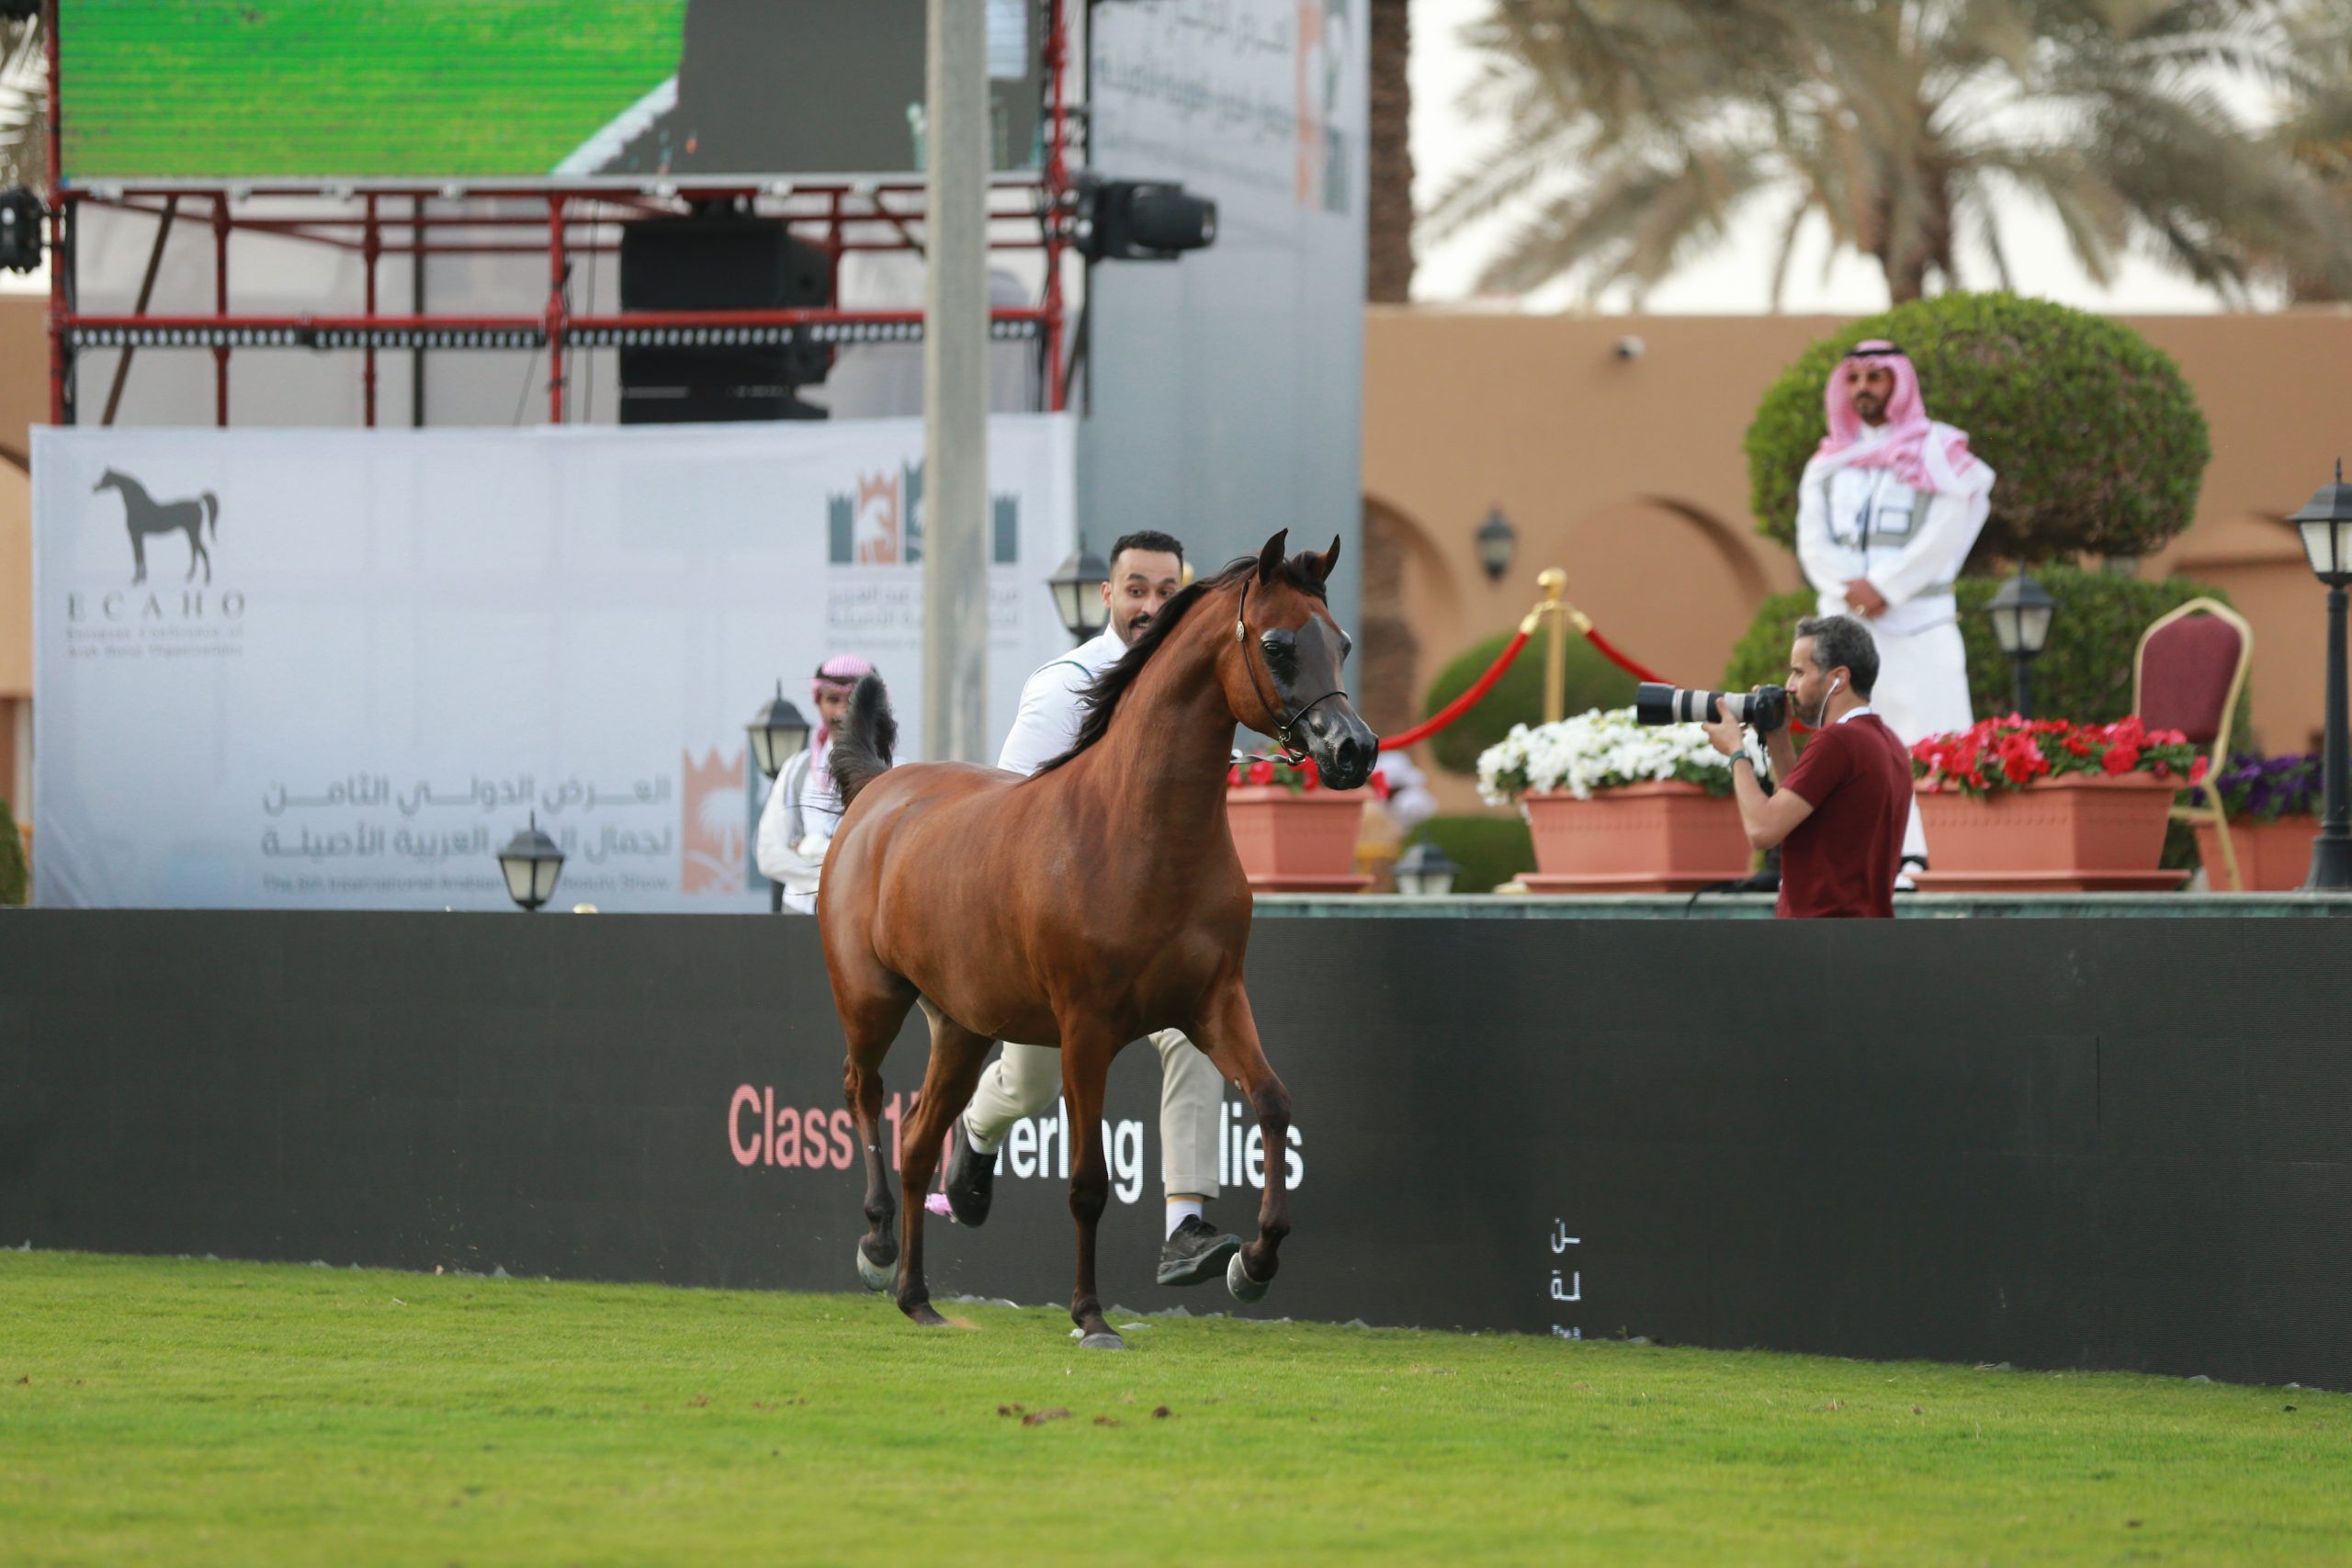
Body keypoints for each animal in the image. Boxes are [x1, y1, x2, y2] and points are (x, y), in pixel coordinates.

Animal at [93, 469, 218, 586]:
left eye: (105, 478)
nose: (94, 488)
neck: (137, 505)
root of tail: (198, 502)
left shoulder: (136, 535)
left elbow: (138, 557)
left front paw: (136, 580)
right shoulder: (139, 536)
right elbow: (141, 556)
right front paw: (143, 579)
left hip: (193, 532)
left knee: (202, 551)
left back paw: (206, 580)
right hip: (190, 533)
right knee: (195, 551)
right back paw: (190, 577)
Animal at [818, 530, 1378, 1348]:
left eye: (1339, 642)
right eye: (1277, 644)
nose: (1354, 751)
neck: (1136, 832)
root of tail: (876, 794)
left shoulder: (1213, 1003)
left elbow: (1272, 1103)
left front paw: (1251, 1261)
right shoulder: (1086, 1030)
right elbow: (1087, 1181)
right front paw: (1090, 1316)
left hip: (962, 1026)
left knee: (920, 1138)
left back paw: (918, 1297)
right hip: (871, 1000)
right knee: (866, 1092)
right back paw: (877, 1243)